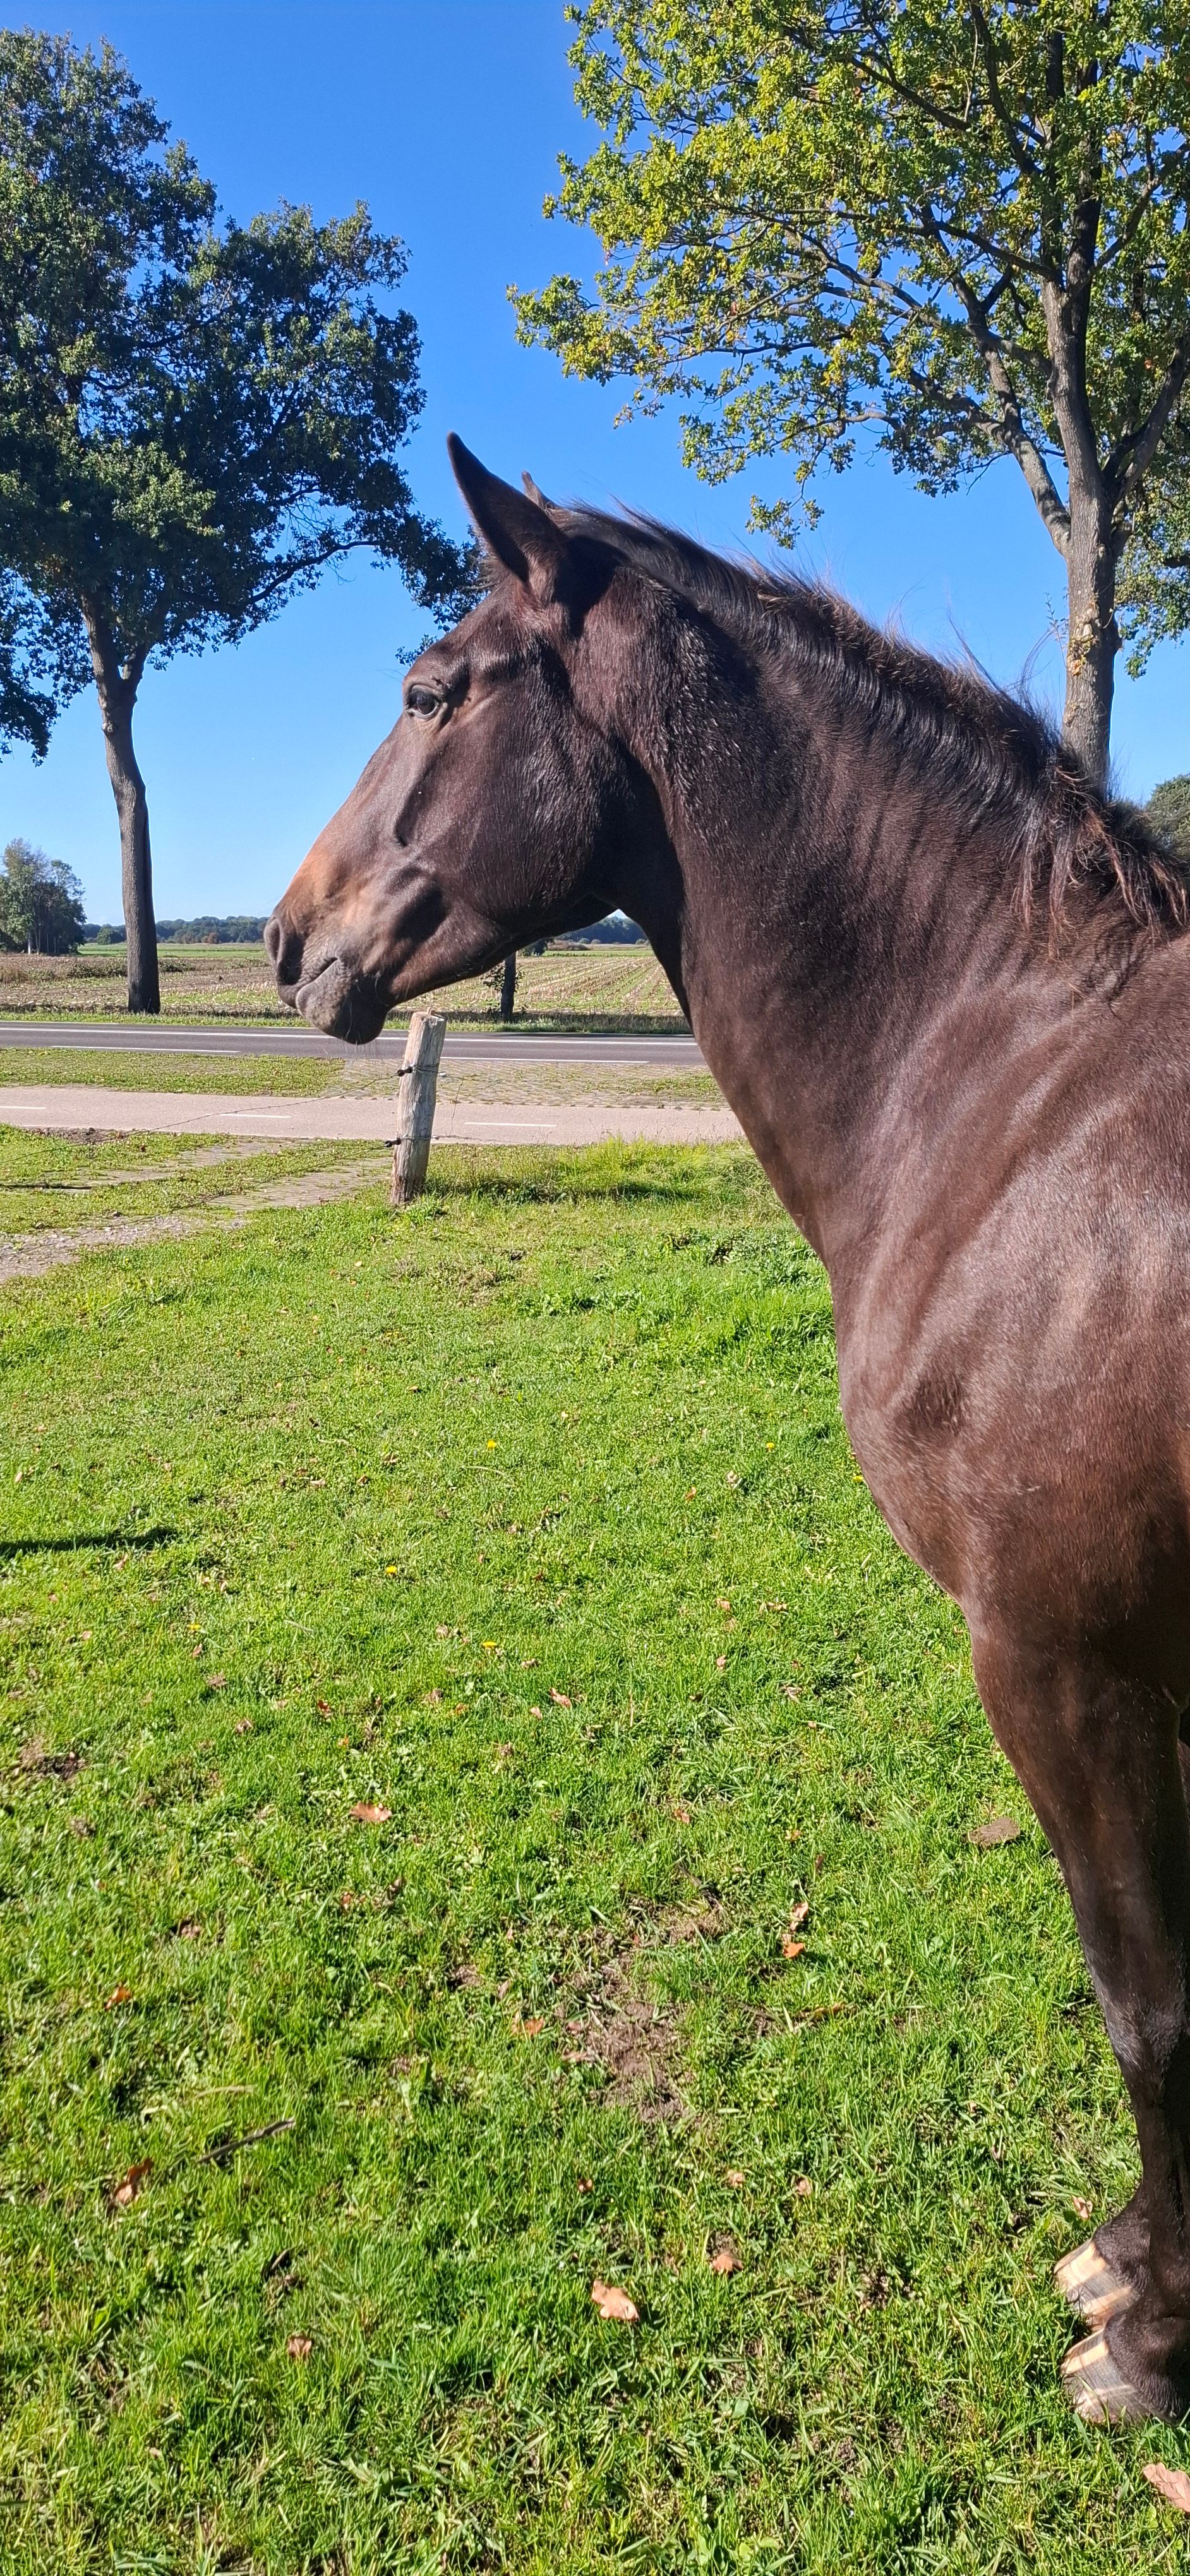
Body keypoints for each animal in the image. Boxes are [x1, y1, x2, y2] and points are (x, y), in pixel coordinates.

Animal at [267, 434, 1190, 2427]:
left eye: (429, 692)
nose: (290, 942)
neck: (1014, 1096)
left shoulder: (1062, 1661)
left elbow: (1145, 1997)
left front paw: (1151, 2341)